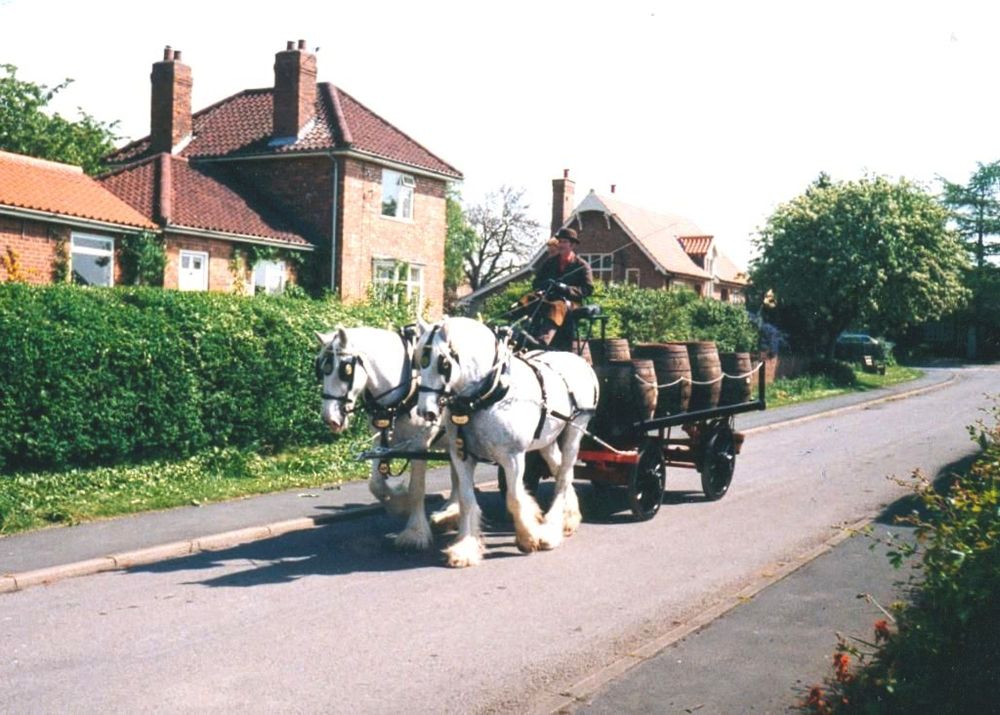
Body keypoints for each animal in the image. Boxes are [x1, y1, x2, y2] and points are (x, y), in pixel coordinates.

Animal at [316, 328, 460, 552]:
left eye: (345, 370)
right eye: (322, 370)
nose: (329, 418)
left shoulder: (419, 445)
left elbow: (417, 488)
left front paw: (415, 532)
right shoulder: (381, 443)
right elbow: (376, 484)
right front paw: (400, 505)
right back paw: (451, 512)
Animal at [416, 316, 596, 568]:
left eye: (443, 363)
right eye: (418, 360)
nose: (426, 411)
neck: (488, 396)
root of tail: (577, 359)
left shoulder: (513, 457)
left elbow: (514, 496)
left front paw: (528, 538)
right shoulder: (462, 456)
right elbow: (467, 500)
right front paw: (465, 548)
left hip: (575, 430)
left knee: (564, 475)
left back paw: (550, 531)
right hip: (547, 439)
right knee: (559, 467)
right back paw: (569, 518)